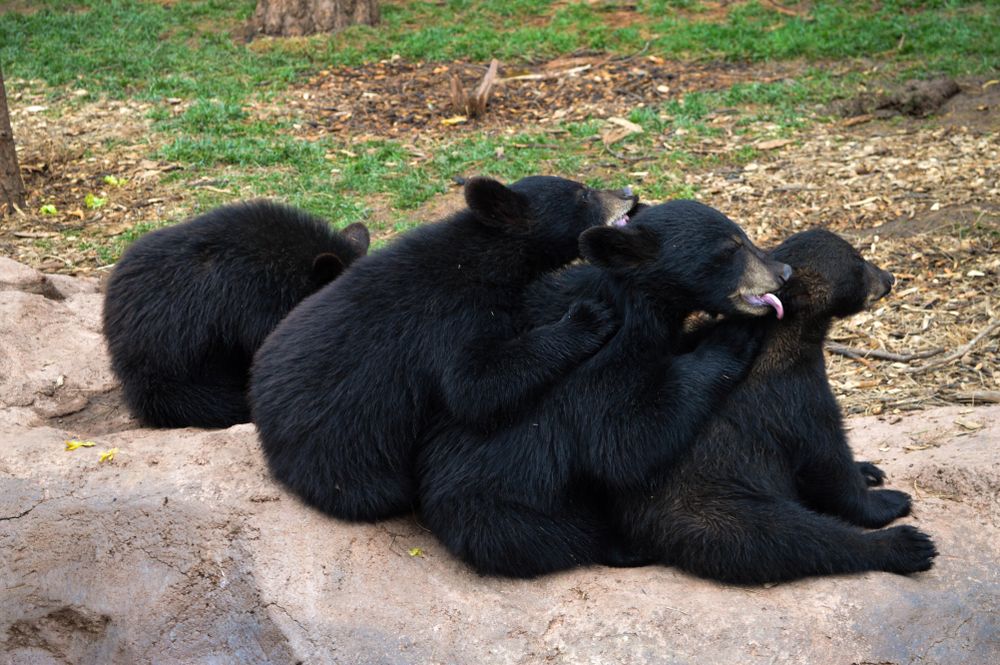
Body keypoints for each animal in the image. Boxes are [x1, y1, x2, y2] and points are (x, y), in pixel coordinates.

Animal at [249, 175, 640, 522]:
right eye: (583, 194)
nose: (629, 193)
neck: (490, 258)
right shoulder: (454, 317)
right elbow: (473, 386)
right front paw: (589, 318)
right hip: (344, 451)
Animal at [416, 200, 793, 578]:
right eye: (729, 249)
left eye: (744, 236)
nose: (784, 272)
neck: (639, 307)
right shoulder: (604, 361)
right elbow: (622, 440)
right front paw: (732, 337)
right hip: (505, 512)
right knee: (560, 536)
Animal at [615, 228, 938, 585]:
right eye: (857, 263)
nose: (889, 278)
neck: (789, 332)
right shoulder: (793, 394)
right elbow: (826, 458)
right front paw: (886, 500)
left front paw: (868, 468)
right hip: (714, 508)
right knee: (789, 536)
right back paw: (906, 544)